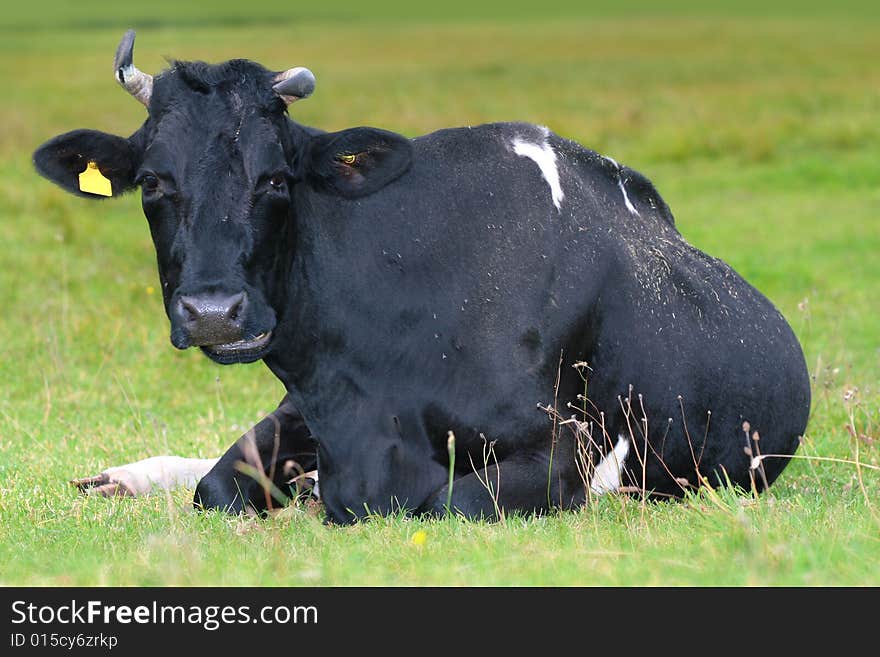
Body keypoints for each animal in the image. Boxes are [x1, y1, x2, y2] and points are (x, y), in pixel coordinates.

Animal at [32, 32, 812, 524]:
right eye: (153, 182)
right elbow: (217, 485)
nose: (214, 311)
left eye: (276, 179)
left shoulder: (561, 449)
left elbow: (448, 500)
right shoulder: (308, 407)